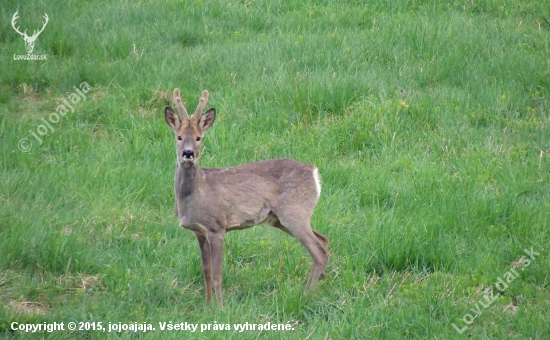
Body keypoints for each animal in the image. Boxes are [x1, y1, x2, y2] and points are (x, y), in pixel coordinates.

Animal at [165, 89, 332, 304]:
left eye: (198, 137)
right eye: (178, 137)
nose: (188, 153)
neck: (194, 195)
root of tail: (314, 173)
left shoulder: (217, 226)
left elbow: (217, 273)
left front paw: (220, 307)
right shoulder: (199, 231)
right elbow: (206, 271)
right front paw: (208, 305)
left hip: (294, 212)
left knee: (319, 251)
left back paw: (306, 296)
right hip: (280, 219)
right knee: (324, 240)